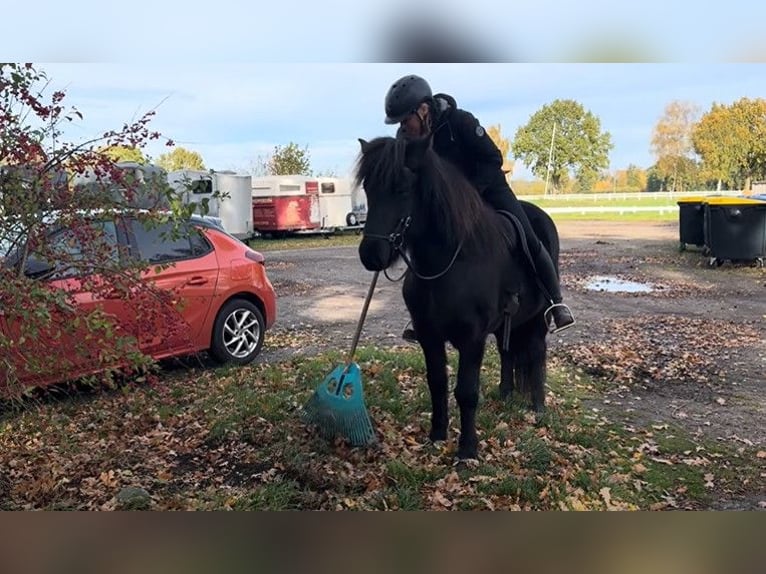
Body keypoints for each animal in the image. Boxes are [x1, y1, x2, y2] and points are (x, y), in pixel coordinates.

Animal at [354, 134, 561, 460]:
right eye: (368, 187)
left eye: (402, 187)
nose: (371, 254)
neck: (452, 261)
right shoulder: (429, 335)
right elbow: (437, 383)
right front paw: (437, 435)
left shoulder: (472, 338)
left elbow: (466, 392)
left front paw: (467, 450)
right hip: (507, 324)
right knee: (507, 353)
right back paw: (505, 394)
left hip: (537, 321)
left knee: (537, 354)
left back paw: (537, 406)